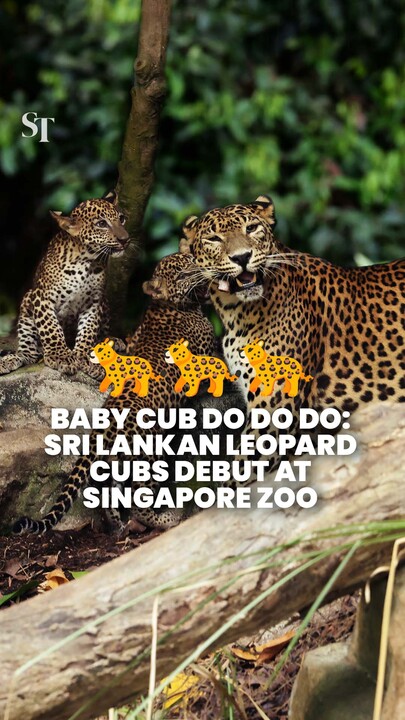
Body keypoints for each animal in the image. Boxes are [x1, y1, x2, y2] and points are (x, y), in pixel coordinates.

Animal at [0, 191, 128, 376]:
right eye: (102, 224)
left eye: (122, 219)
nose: (125, 239)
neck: (86, 261)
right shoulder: (42, 297)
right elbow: (51, 328)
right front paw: (61, 357)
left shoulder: (94, 302)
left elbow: (88, 330)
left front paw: (85, 358)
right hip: (27, 302)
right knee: (28, 354)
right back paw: (9, 360)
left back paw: (112, 341)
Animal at [13, 252, 216, 535]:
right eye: (184, 274)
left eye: (192, 260)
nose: (204, 269)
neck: (168, 306)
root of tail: (105, 428)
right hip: (150, 456)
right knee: (139, 501)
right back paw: (166, 520)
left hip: (117, 464)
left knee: (112, 495)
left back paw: (119, 526)